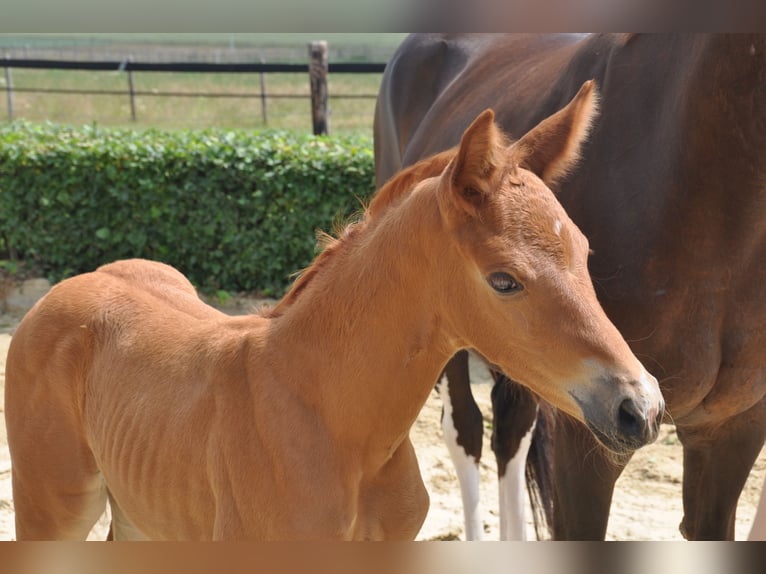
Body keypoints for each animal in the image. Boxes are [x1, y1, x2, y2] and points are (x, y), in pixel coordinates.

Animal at [3, 91, 664, 541]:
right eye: (504, 280)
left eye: (585, 253)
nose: (641, 407)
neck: (336, 422)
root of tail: (70, 287)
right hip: (53, 510)